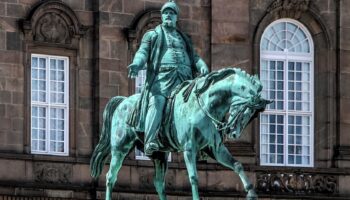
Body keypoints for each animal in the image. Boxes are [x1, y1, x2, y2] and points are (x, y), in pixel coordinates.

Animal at [89, 68, 268, 199]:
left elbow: (238, 165)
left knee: (159, 183)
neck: (205, 107)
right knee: (110, 177)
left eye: (254, 116)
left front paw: (251, 192)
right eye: (246, 112)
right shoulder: (189, 148)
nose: (233, 133)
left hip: (159, 155)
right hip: (120, 148)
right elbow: (194, 178)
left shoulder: (215, 149)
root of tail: (123, 101)